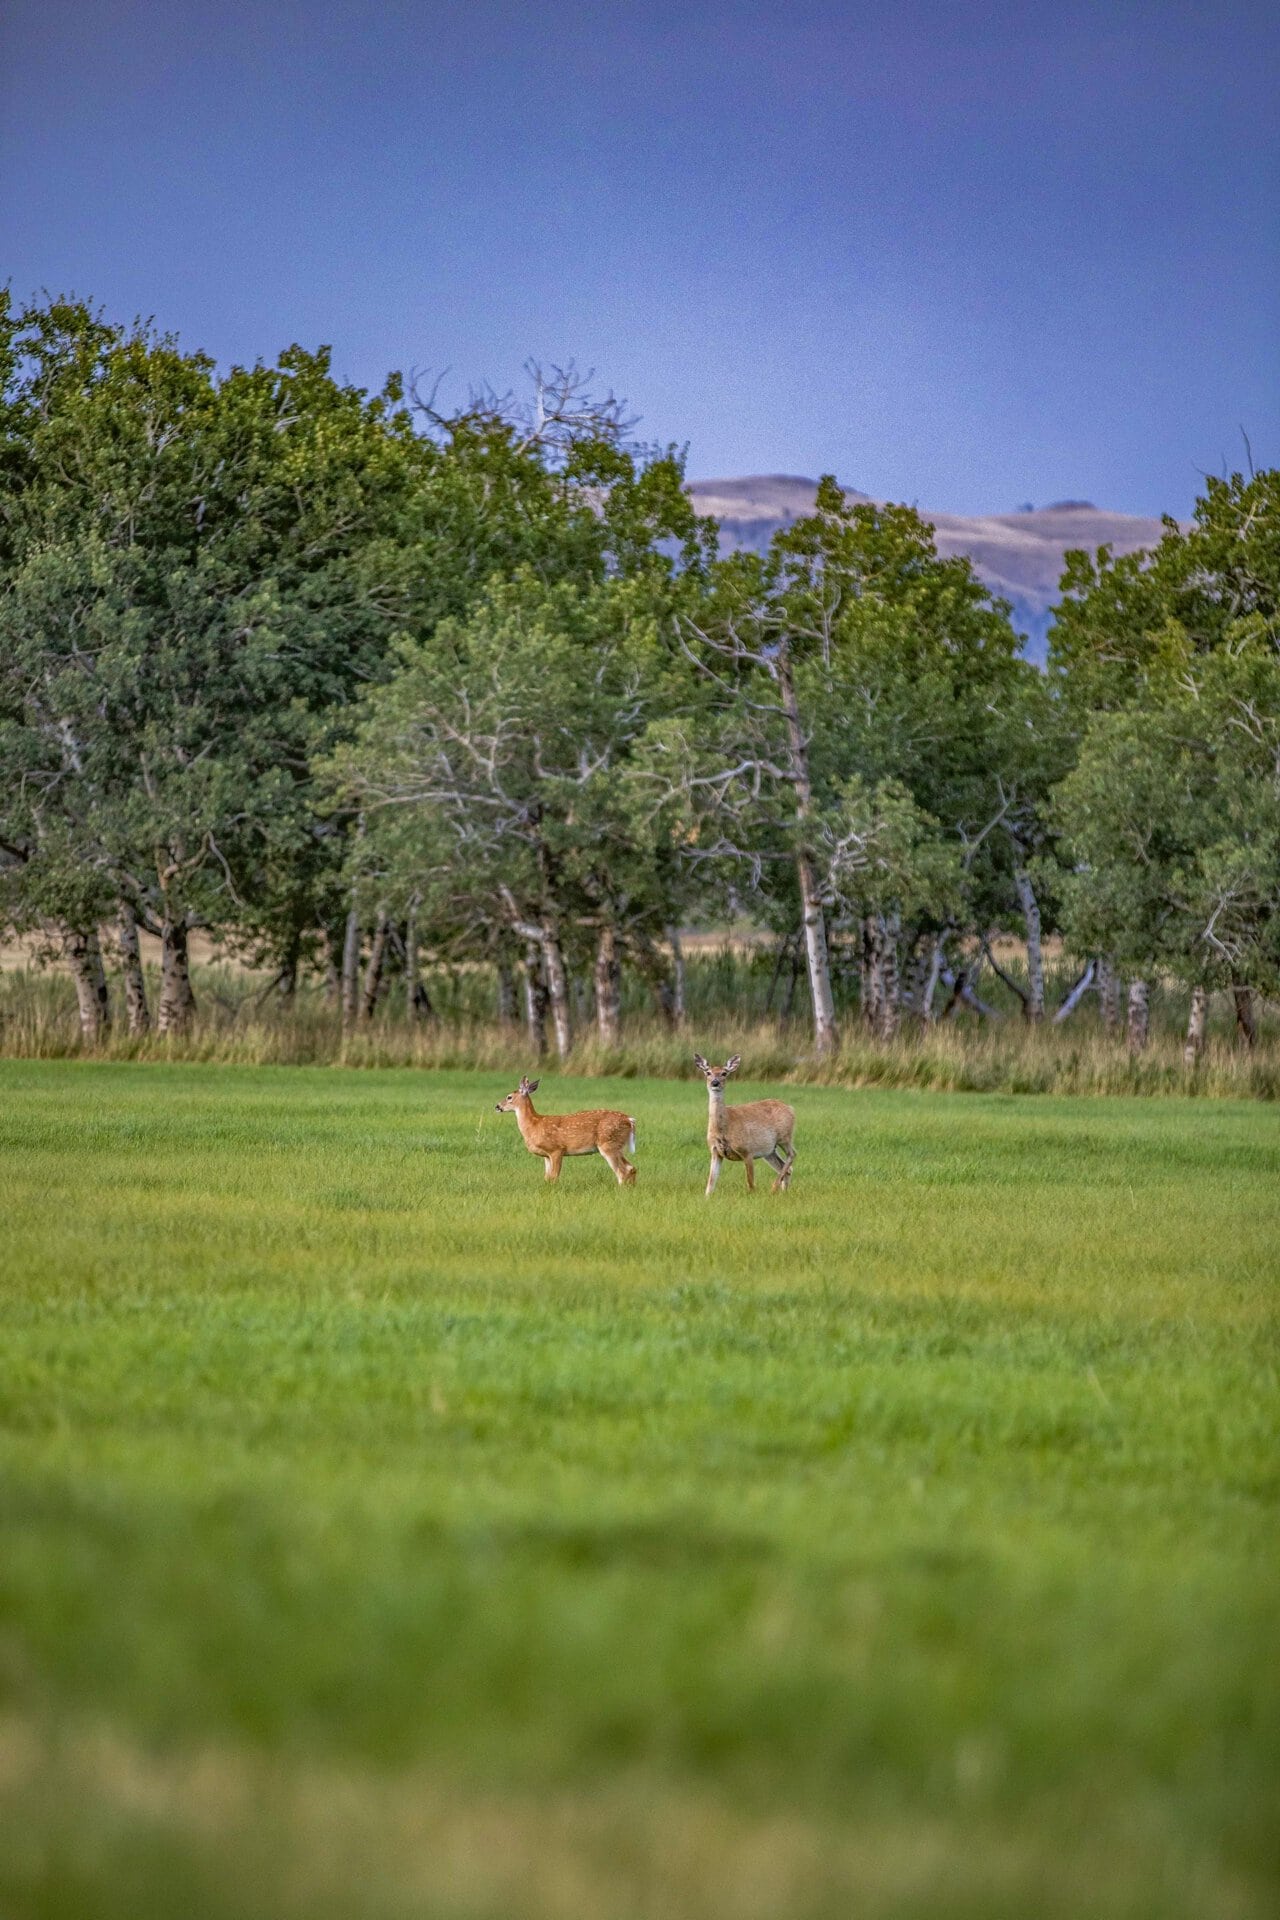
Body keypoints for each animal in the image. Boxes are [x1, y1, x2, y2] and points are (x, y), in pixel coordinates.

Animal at [495, 1076, 637, 1185]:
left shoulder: (556, 1149)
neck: (534, 1124)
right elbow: (547, 1177)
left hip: (608, 1143)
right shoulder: (546, 1155)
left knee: (622, 1171)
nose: (497, 1106)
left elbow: (554, 1176)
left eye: (509, 1097)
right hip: (617, 1145)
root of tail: (629, 1120)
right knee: (631, 1168)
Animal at [693, 1054, 795, 1197]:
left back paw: (773, 1188)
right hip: (769, 1150)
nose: (715, 1083)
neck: (725, 1128)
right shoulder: (715, 1151)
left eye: (724, 1073)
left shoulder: (747, 1151)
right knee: (786, 1167)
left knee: (792, 1155)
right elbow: (710, 1183)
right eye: (708, 1072)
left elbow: (750, 1183)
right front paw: (706, 1198)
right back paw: (782, 1191)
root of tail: (790, 1108)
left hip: (785, 1137)